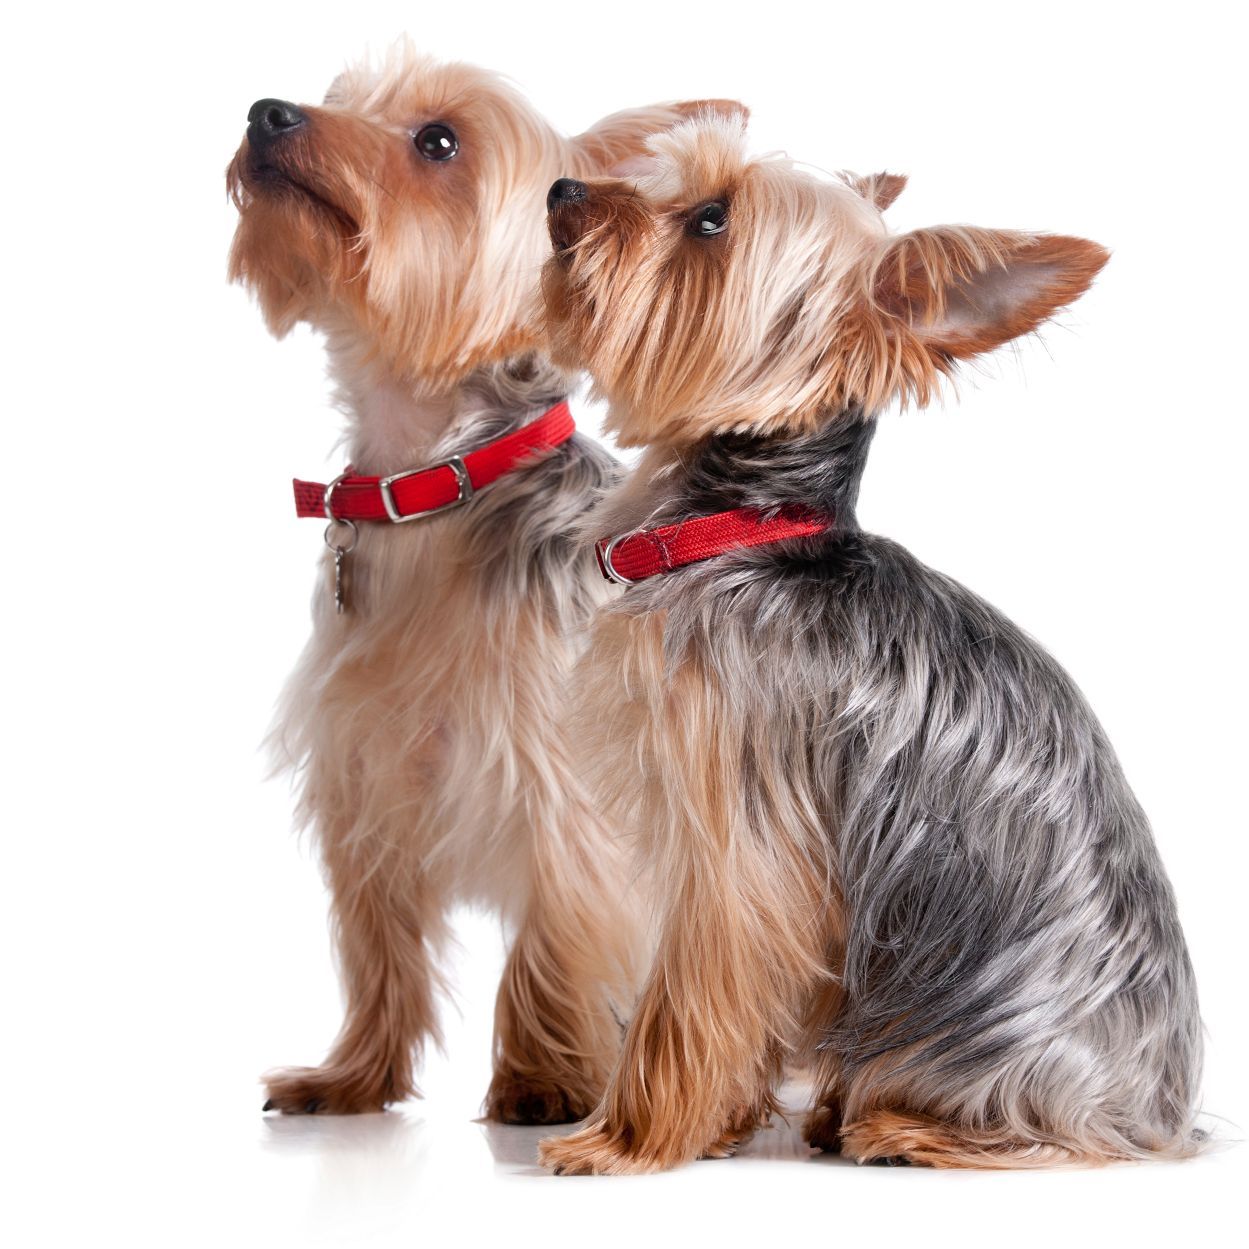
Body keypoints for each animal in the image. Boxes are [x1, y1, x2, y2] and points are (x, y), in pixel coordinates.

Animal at [227, 46, 738, 1123]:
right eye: (336, 101)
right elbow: (376, 942)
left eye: (438, 141)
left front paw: (540, 1080)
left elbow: (556, 920)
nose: (267, 112)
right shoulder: (363, 772)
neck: (428, 479)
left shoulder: (562, 775)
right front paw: (352, 1076)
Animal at [538, 113, 1203, 1170]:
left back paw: (894, 1125)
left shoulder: (741, 843)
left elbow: (687, 1001)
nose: (562, 189)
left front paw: (625, 1139)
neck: (746, 533)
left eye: (710, 220)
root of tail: (1163, 1107)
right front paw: (720, 1123)